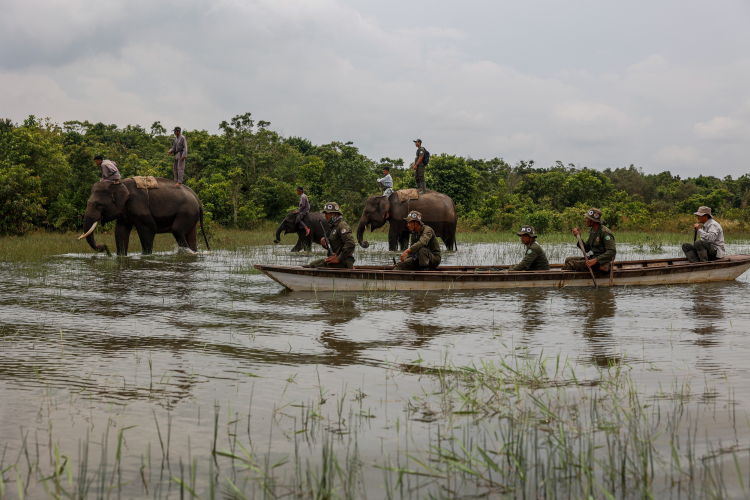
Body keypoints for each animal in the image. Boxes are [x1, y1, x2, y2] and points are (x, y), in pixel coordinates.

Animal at [78, 178, 212, 256]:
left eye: (98, 205)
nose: (102, 247)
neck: (119, 184)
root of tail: (197, 199)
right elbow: (120, 231)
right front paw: (121, 255)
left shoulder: (138, 204)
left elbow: (149, 228)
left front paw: (146, 255)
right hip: (192, 215)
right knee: (190, 235)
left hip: (187, 212)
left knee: (177, 230)